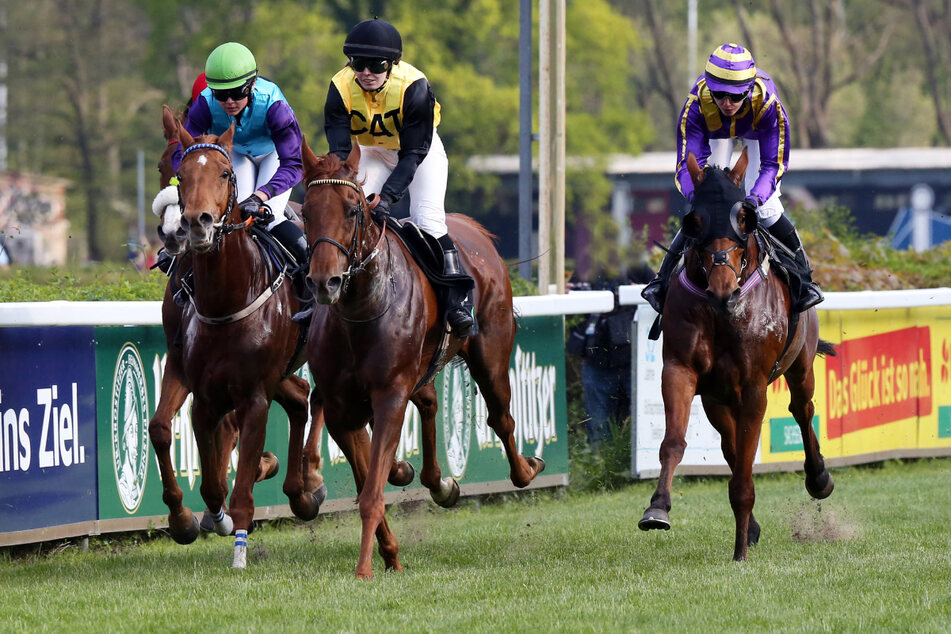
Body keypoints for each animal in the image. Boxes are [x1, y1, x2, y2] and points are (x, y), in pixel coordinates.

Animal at [159, 106, 328, 564]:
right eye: (178, 172)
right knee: (300, 397)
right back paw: (300, 491)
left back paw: (309, 479)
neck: (227, 299)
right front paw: (192, 520)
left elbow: (239, 485)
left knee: (318, 397)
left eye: (223, 173)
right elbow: (206, 474)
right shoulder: (199, 388)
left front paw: (238, 549)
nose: (193, 224)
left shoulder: (253, 395)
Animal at [302, 139, 548, 576]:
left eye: (352, 210)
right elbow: (367, 481)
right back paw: (436, 481)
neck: (361, 309)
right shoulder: (341, 408)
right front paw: (388, 553)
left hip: (491, 356)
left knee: (501, 419)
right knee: (432, 403)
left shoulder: (389, 395)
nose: (323, 282)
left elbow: (371, 492)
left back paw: (525, 468)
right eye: (305, 212)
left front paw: (365, 568)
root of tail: (476, 232)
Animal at [640, 151, 832, 560]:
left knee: (802, 410)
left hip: (800, 364)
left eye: (744, 218)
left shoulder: (753, 387)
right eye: (693, 221)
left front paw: (740, 551)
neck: (722, 313)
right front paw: (657, 508)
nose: (723, 291)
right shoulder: (681, 370)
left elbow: (745, 468)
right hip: (717, 397)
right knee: (730, 445)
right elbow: (674, 442)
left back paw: (819, 477)